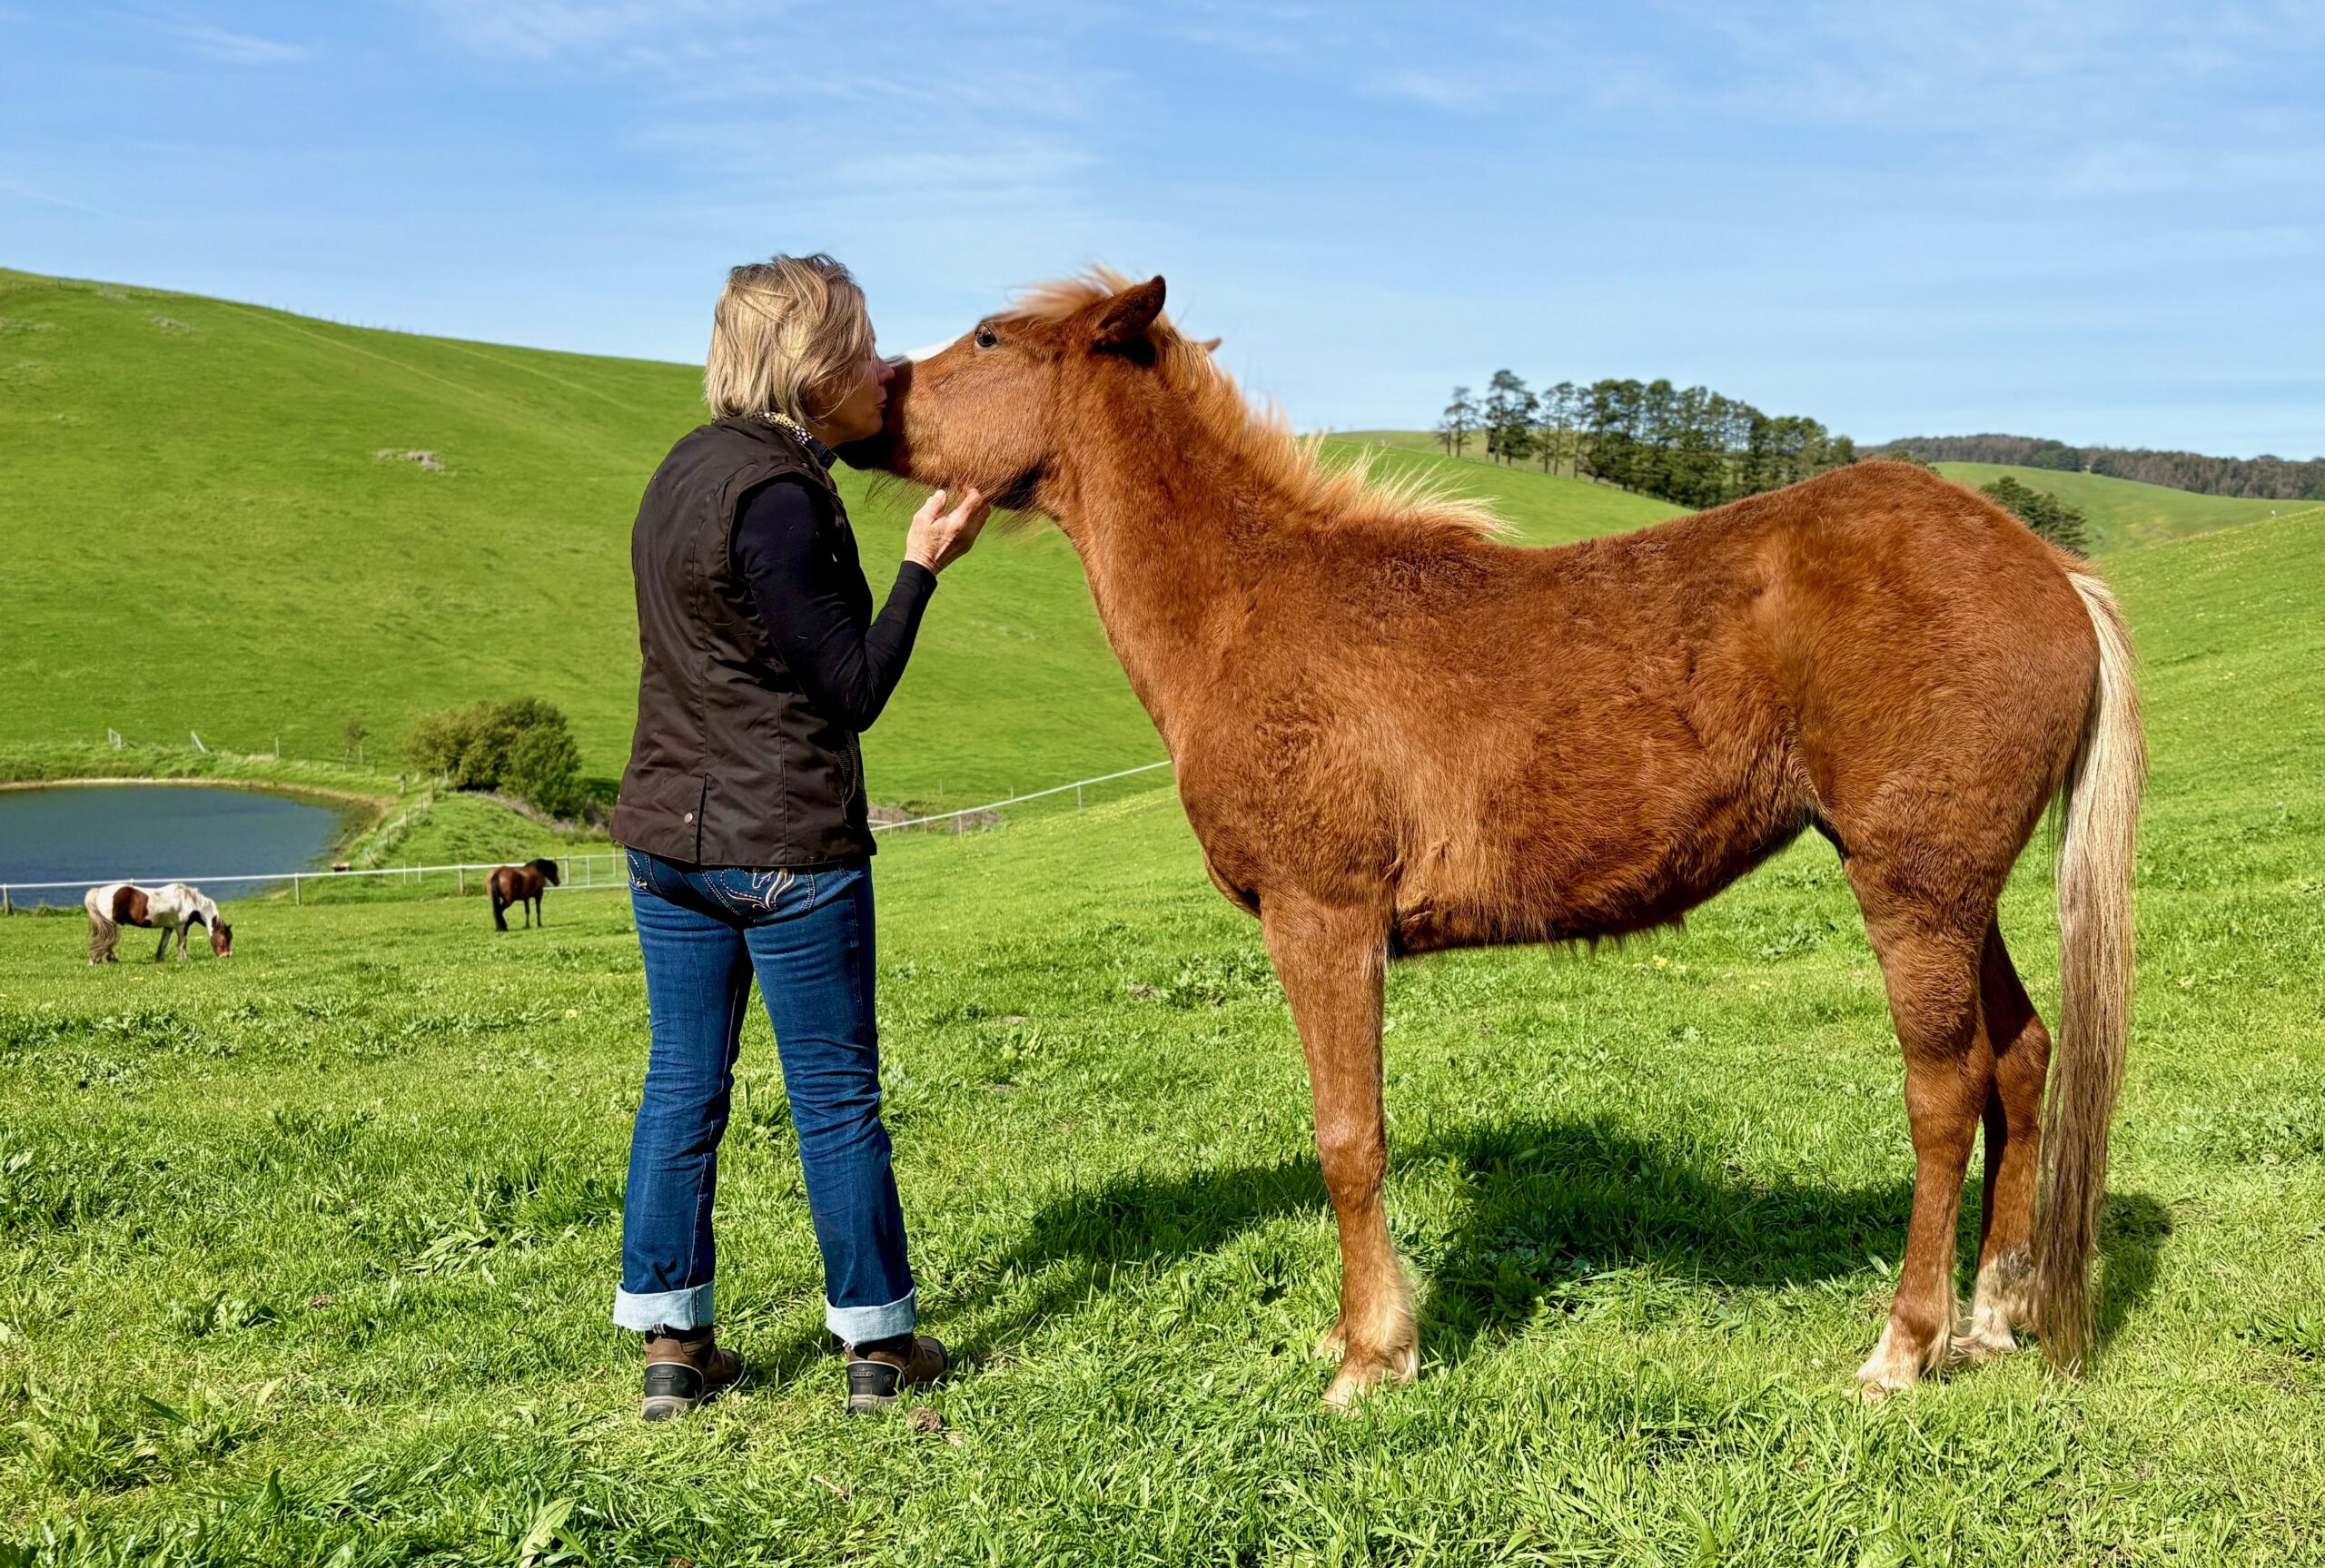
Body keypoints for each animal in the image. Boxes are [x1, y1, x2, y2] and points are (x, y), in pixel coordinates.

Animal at [85, 882, 234, 964]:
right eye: (225, 939)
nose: (226, 956)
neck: (189, 901)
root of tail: (98, 891)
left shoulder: (168, 927)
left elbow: (164, 943)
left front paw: (160, 959)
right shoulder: (181, 926)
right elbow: (182, 943)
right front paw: (183, 960)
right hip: (109, 923)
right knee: (105, 941)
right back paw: (104, 960)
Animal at [863, 272, 2144, 1407]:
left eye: (986, 337)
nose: (860, 399)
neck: (1252, 604)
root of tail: (2048, 568)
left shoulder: (1322, 919)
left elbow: (1349, 1136)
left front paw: (1371, 1354)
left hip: (1913, 893)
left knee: (1946, 1088)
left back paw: (1905, 1344)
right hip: (1961, 894)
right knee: (2022, 1056)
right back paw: (1992, 1314)